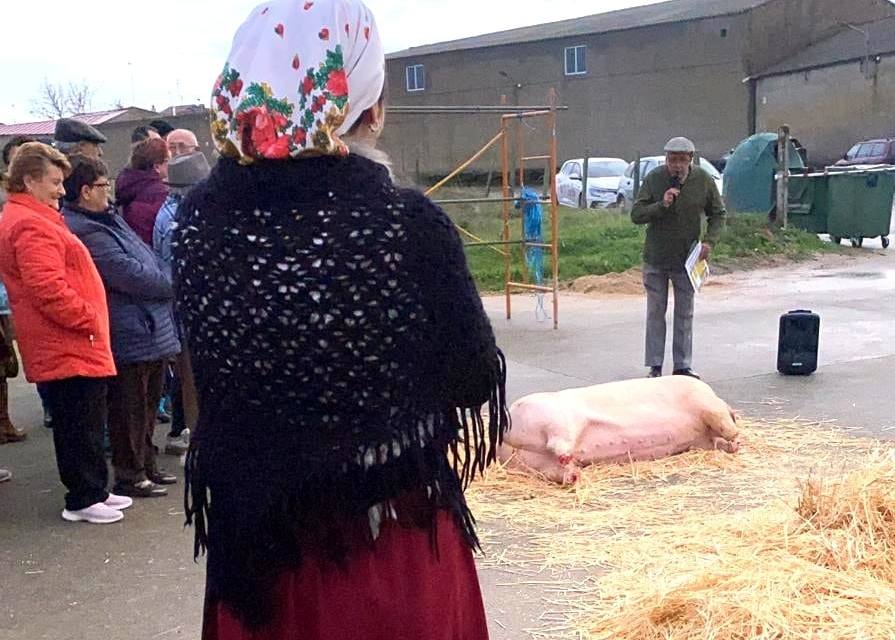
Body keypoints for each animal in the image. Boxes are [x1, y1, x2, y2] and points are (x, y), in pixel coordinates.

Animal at [496, 376, 744, 484]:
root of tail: (508, 440)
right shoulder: (703, 401)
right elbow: (723, 423)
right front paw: (736, 439)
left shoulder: (700, 440)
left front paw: (733, 445)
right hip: (554, 416)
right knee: (559, 442)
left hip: (533, 463)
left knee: (555, 468)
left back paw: (574, 475)